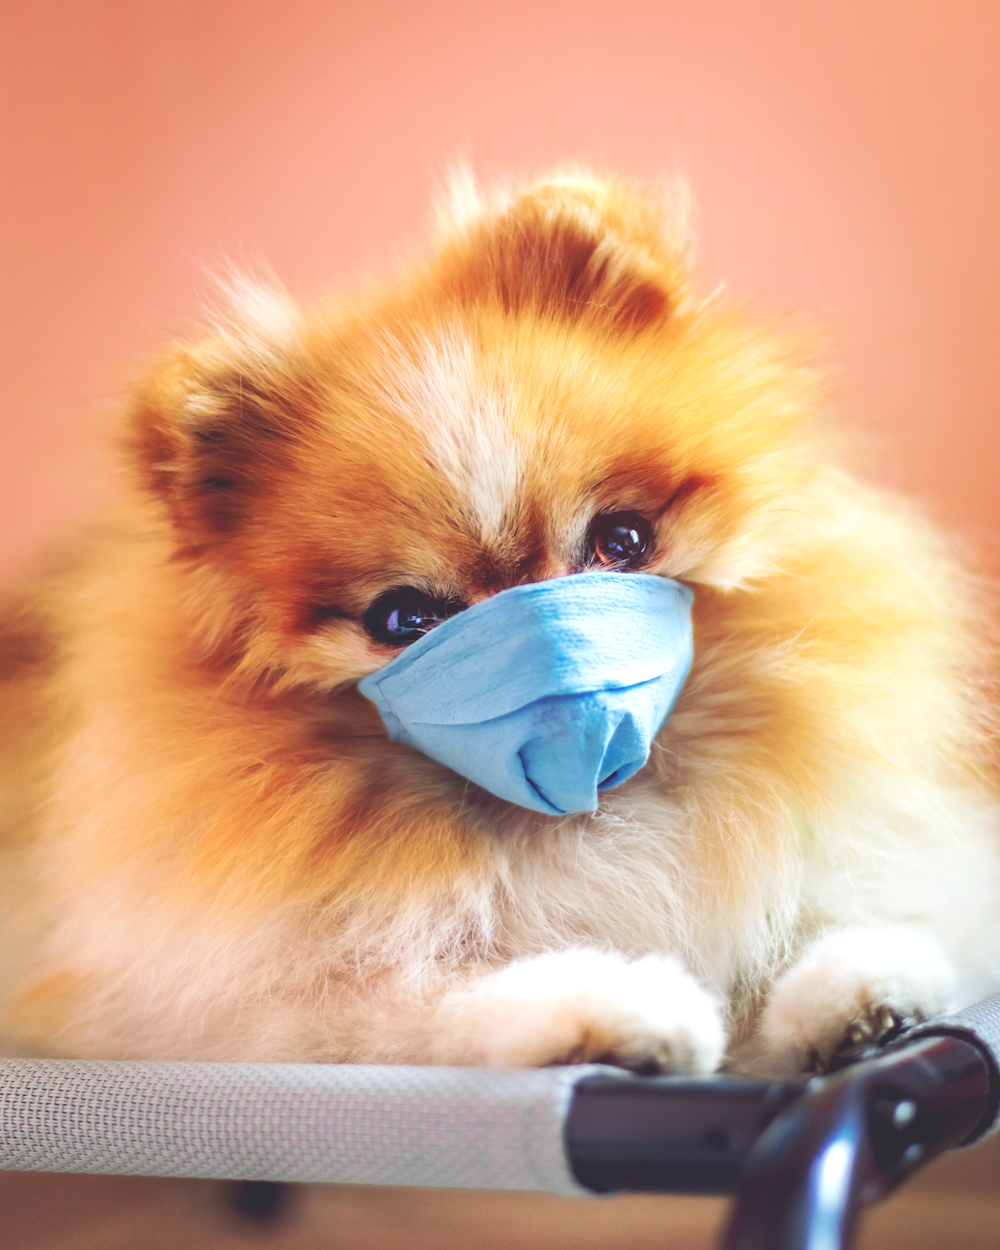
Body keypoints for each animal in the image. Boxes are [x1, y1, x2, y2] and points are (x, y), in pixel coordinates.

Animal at [1, 171, 1000, 1080]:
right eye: (406, 618)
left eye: (622, 540)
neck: (586, 818)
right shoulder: (245, 1007)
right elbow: (437, 999)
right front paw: (620, 1006)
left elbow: (859, 913)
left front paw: (857, 986)